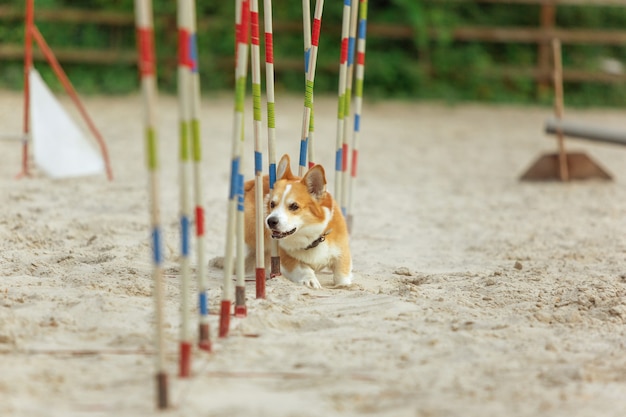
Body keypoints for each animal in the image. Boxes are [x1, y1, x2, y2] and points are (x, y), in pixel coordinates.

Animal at [244, 154, 352, 288]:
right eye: (272, 204)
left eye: (294, 206)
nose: (270, 221)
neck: (312, 239)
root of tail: (252, 182)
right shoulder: (286, 258)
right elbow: (303, 268)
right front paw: (310, 280)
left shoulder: (342, 252)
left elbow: (342, 276)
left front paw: (344, 284)